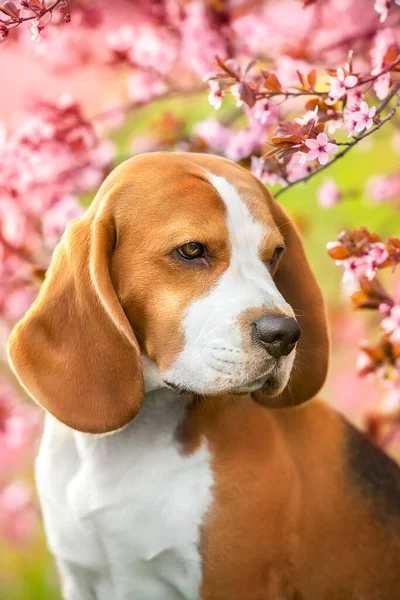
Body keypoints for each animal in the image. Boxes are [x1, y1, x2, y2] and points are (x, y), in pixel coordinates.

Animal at [6, 154, 400, 600]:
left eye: (275, 254)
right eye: (192, 250)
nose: (284, 335)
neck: (130, 444)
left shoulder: (234, 584)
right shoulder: (81, 579)